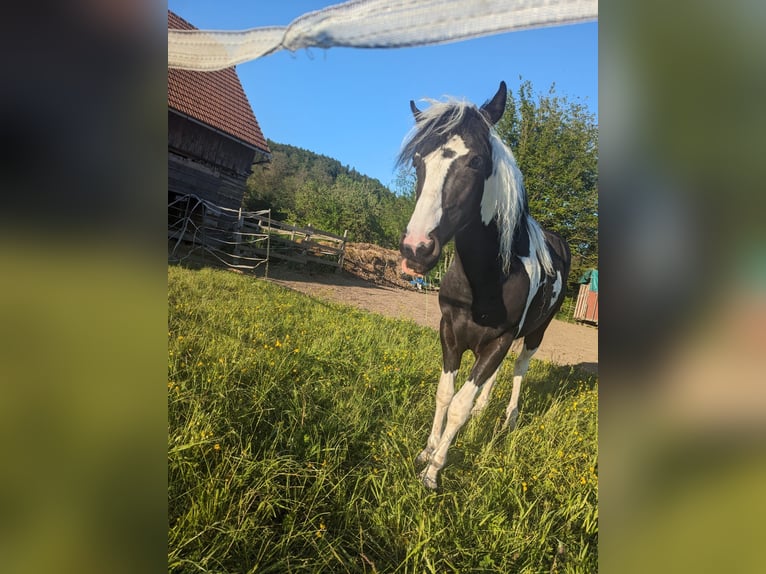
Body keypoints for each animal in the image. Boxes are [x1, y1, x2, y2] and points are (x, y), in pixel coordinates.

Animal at [402, 81, 568, 490]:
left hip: (535, 333)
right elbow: (445, 394)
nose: (416, 249)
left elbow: (460, 404)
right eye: (417, 161)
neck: (485, 279)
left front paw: (434, 471)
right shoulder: (450, 330)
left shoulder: (500, 338)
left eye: (476, 161)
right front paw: (427, 451)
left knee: (519, 369)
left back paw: (509, 419)